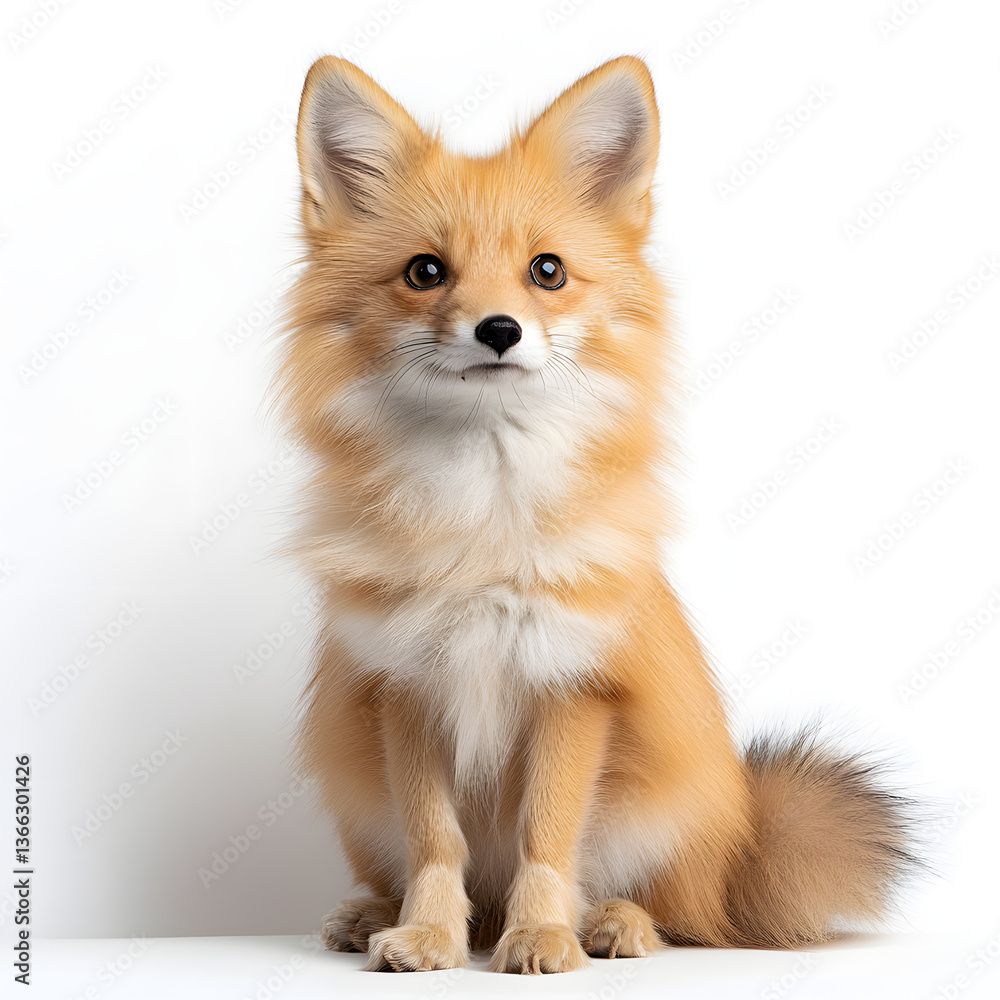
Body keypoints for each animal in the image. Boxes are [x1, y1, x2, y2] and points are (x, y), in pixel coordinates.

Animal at [274, 55, 918, 974]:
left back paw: (614, 923)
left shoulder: (572, 687)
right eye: (425, 272)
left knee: (678, 912)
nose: (499, 329)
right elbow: (437, 843)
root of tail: (741, 852)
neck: (483, 529)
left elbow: (546, 837)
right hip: (363, 804)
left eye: (547, 271)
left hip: (660, 816)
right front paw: (430, 936)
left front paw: (544, 934)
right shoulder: (408, 689)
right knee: (446, 883)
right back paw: (383, 915)